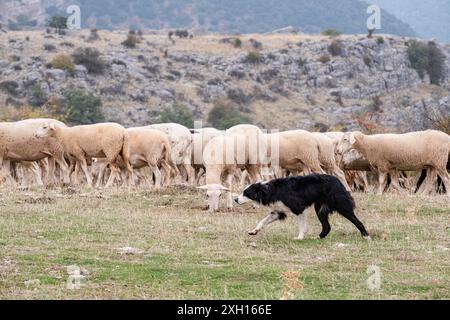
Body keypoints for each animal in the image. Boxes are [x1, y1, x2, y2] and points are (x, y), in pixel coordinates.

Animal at [236, 174, 370, 239]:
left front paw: (299, 237)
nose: (235, 199)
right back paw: (318, 237)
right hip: (320, 207)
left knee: (356, 220)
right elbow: (263, 220)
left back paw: (366, 236)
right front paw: (254, 231)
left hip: (340, 203)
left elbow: (301, 224)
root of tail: (338, 181)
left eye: (246, 193)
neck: (269, 190)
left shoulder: (298, 208)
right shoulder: (278, 210)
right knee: (327, 226)